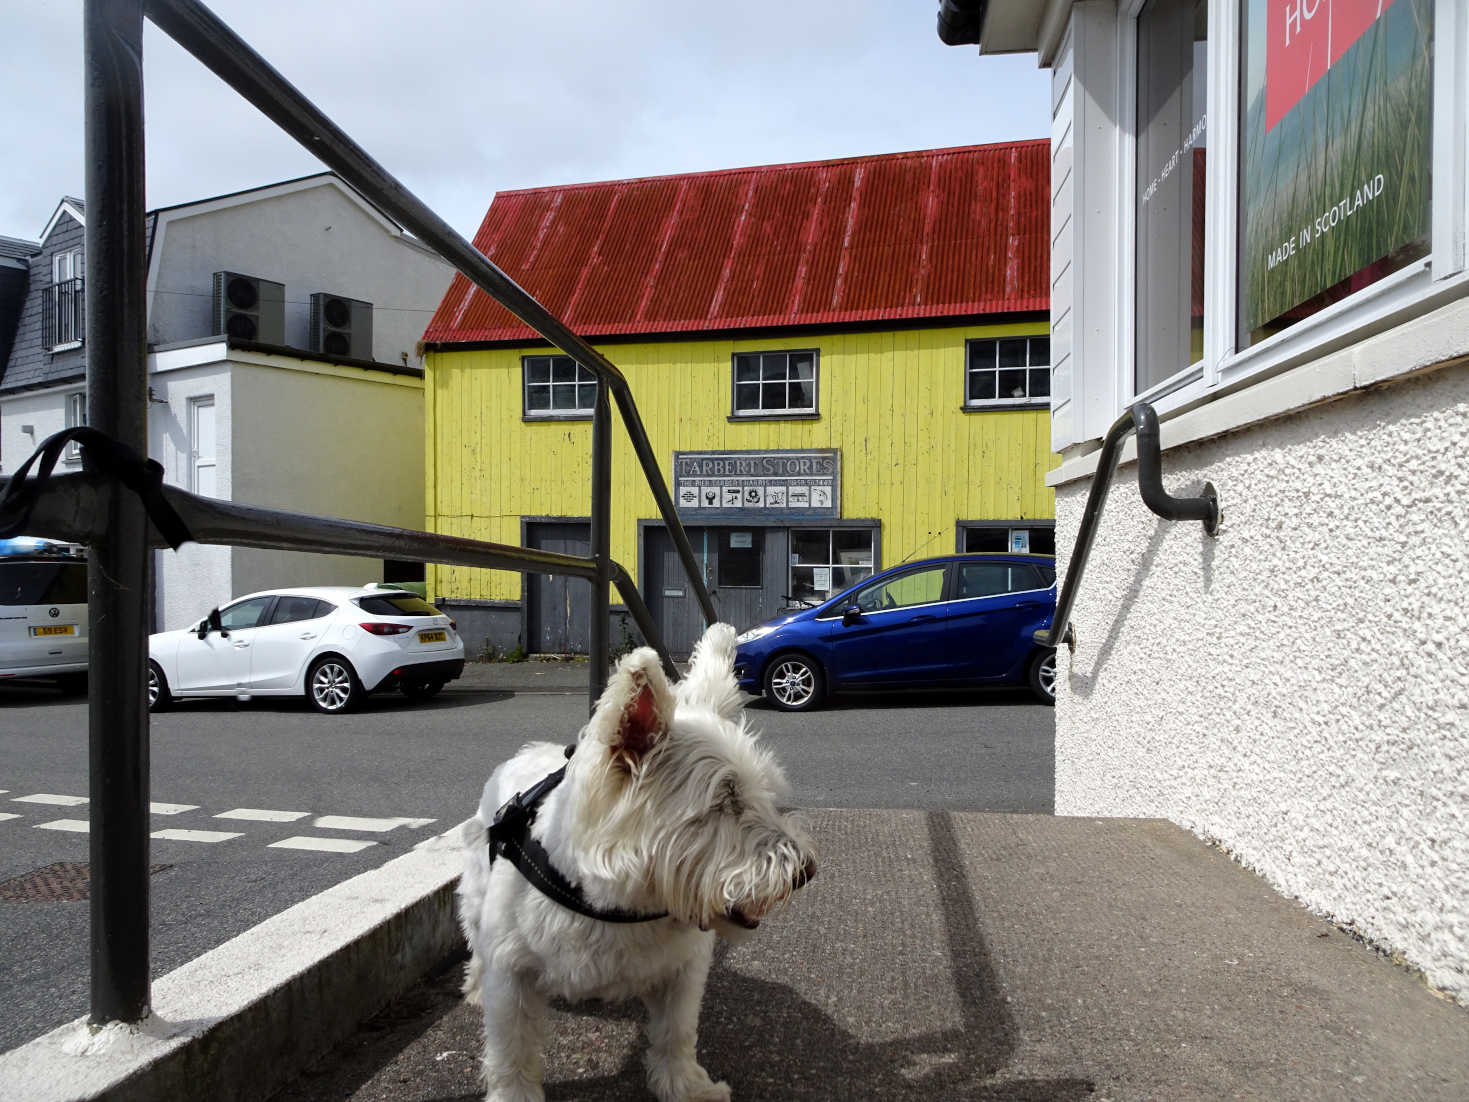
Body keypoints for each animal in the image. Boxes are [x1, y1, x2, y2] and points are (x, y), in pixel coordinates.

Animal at [458, 625, 816, 1102]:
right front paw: (513, 1094)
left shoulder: (684, 970)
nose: (805, 872)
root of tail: (525, 751)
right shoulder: (512, 973)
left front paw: (686, 1087)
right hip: (477, 896)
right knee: (476, 942)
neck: (618, 906)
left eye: (765, 793)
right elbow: (511, 1047)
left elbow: (676, 1032)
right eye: (725, 800)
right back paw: (475, 985)